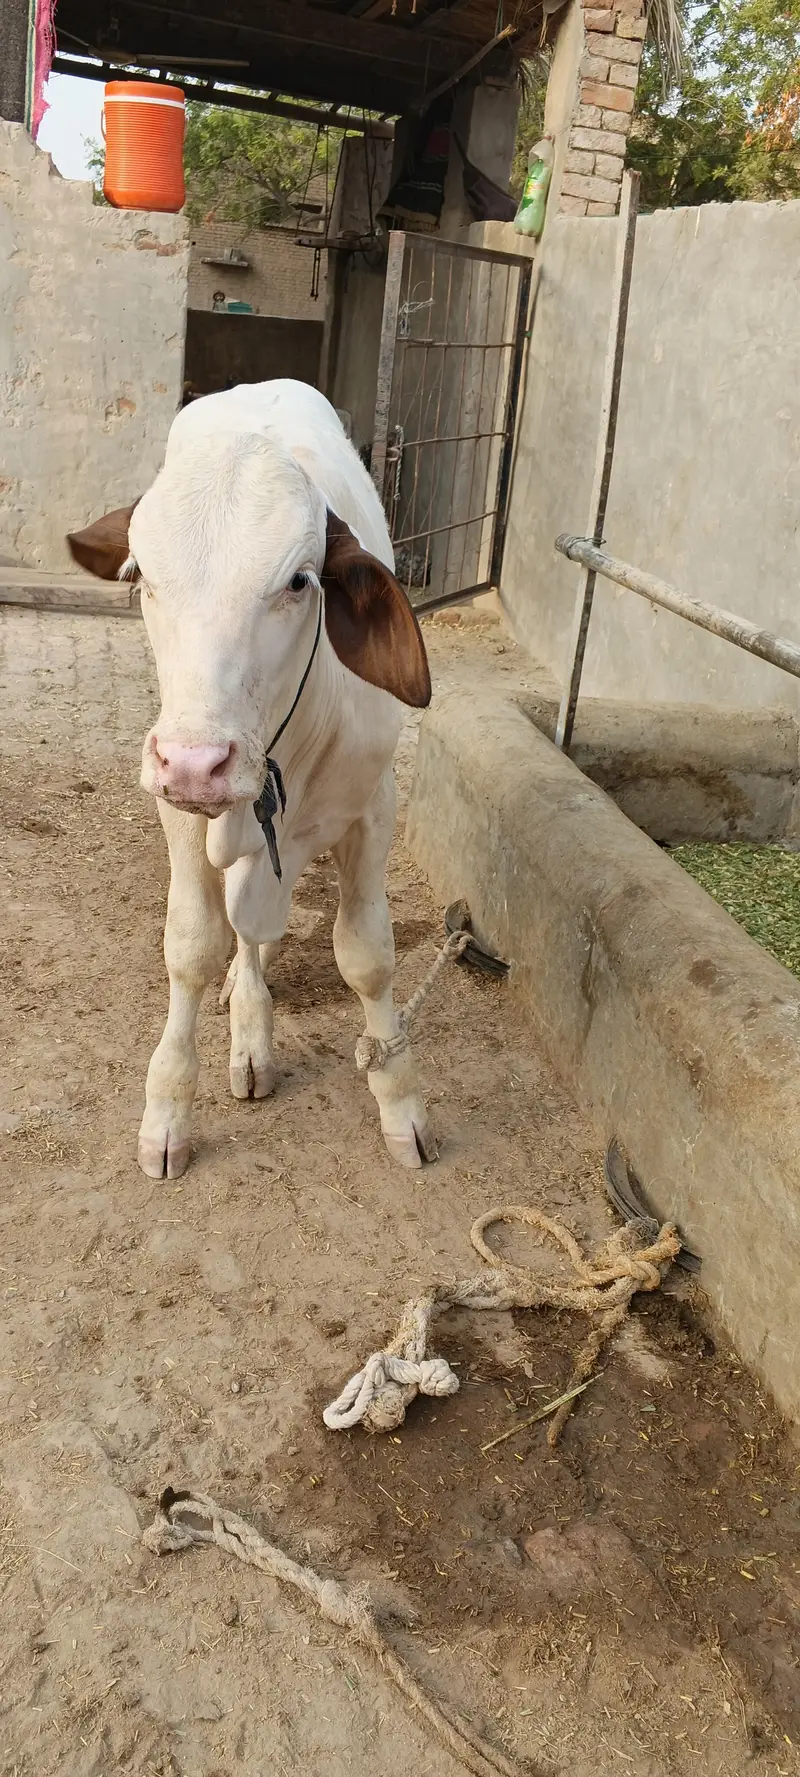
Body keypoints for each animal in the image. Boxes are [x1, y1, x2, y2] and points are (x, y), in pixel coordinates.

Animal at [67, 380, 436, 1179]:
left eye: (299, 580)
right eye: (142, 576)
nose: (194, 761)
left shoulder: (374, 808)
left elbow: (367, 957)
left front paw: (401, 1102)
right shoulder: (180, 811)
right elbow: (194, 945)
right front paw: (168, 1110)